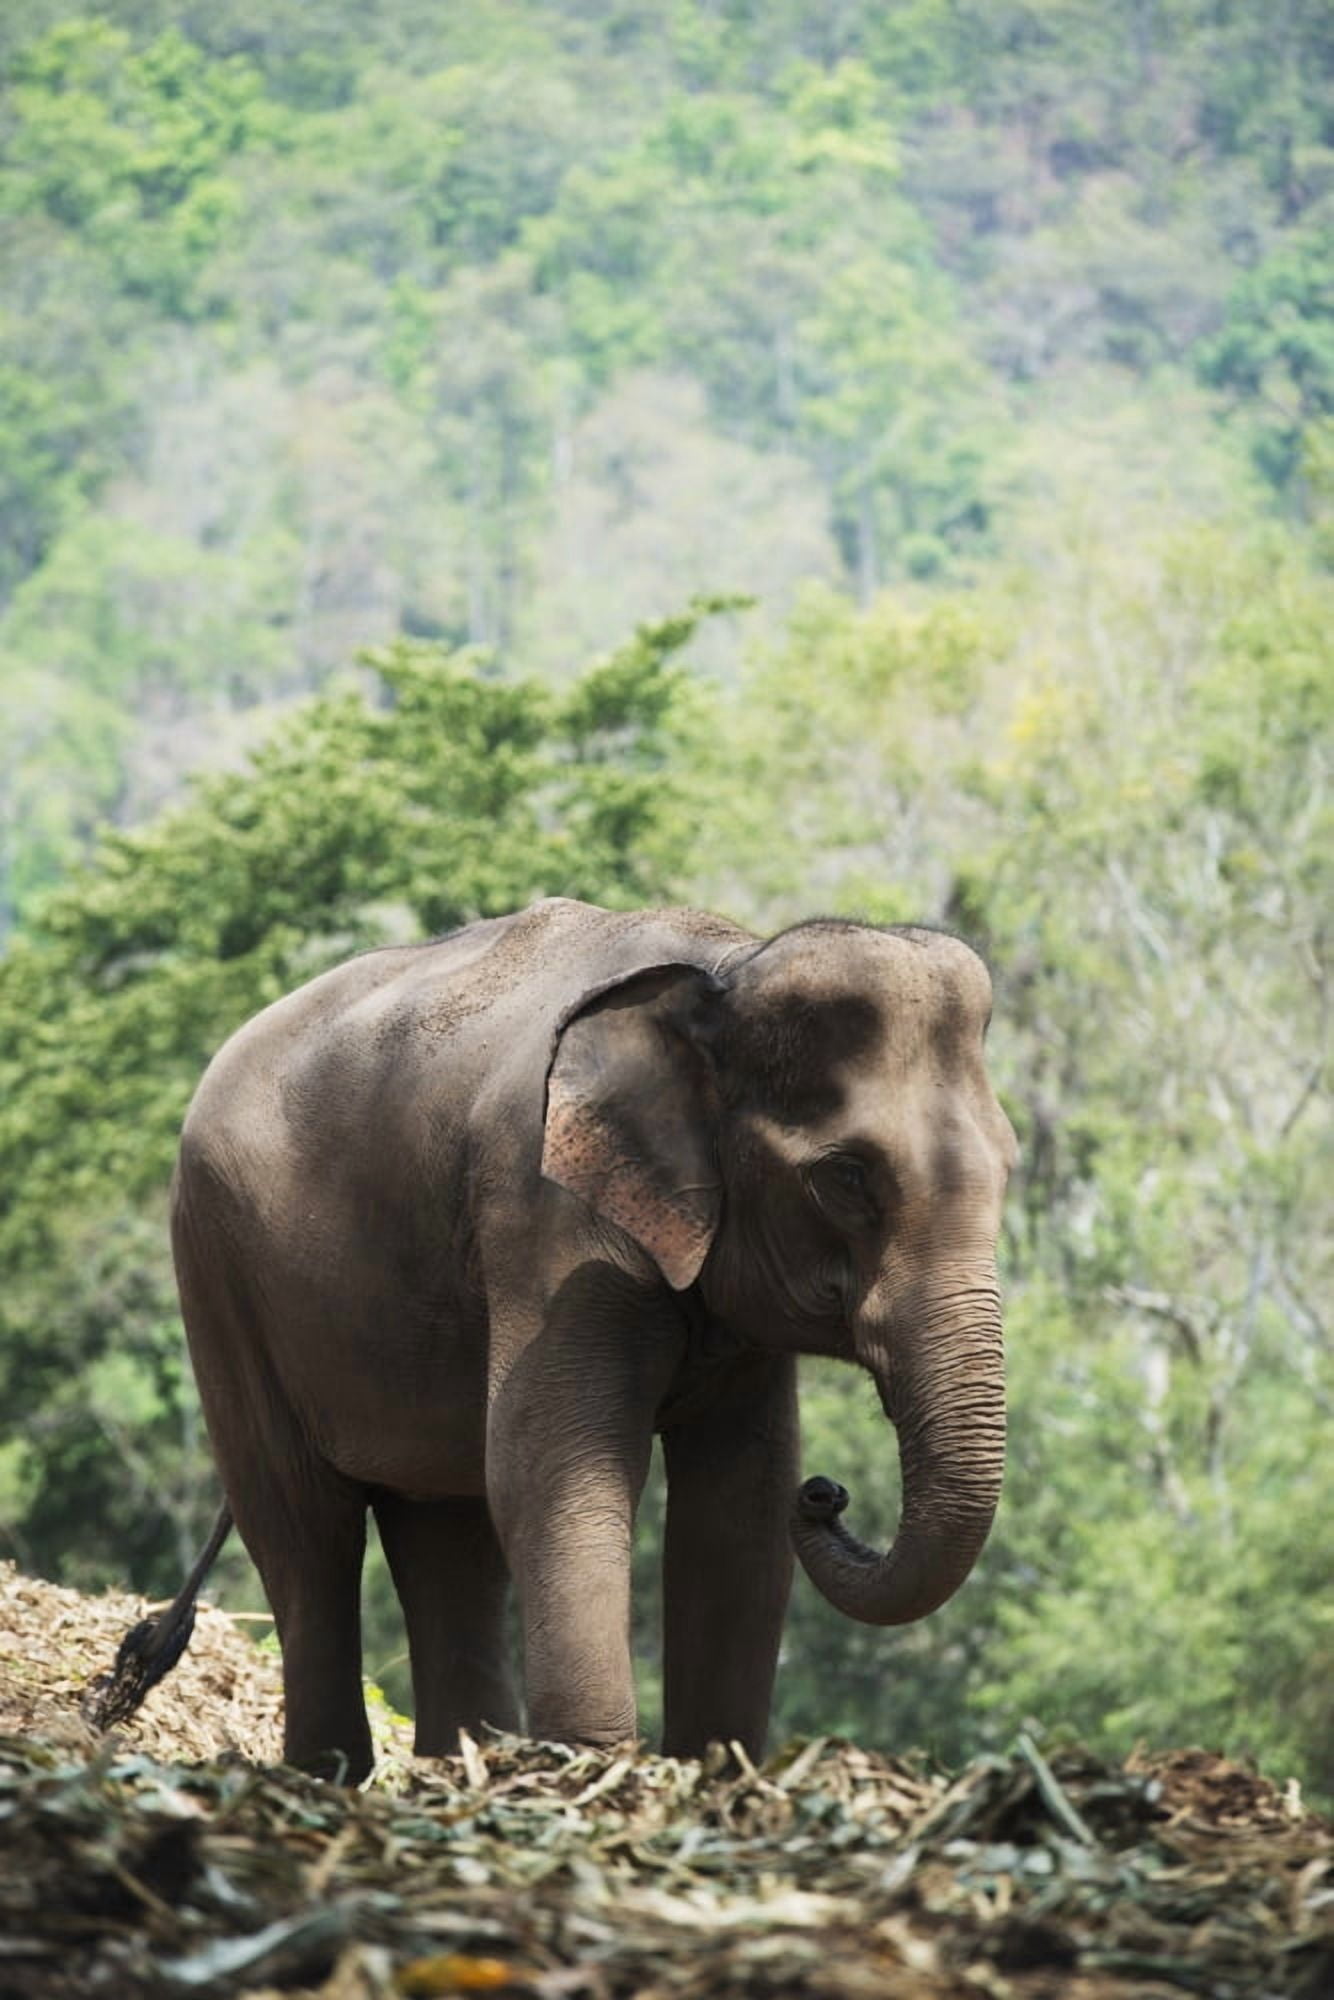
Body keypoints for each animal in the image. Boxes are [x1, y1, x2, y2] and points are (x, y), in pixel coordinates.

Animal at [115, 896, 1016, 1782]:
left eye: (1009, 1170)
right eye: (845, 1177)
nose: (828, 1494)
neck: (724, 966)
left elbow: (741, 1501)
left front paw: (711, 1773)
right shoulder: (545, 1216)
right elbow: (551, 1464)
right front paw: (595, 1769)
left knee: (446, 1529)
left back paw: (464, 1769)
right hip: (220, 1277)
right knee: (304, 1531)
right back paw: (331, 1774)